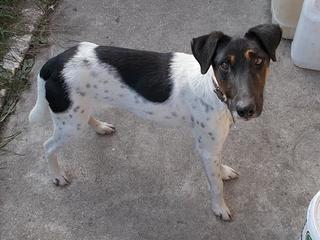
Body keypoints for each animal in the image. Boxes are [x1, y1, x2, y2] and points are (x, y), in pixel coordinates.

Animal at [28, 23, 282, 220]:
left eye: (258, 60)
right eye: (224, 65)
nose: (245, 110)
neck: (213, 87)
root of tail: (54, 61)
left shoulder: (213, 145)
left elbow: (218, 168)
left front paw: (223, 171)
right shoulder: (207, 148)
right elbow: (216, 185)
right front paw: (219, 208)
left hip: (77, 112)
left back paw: (100, 127)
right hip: (70, 124)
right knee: (47, 146)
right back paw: (57, 176)